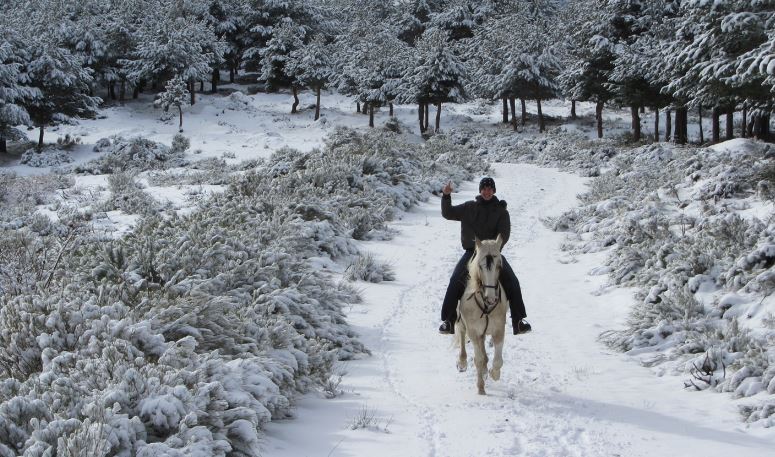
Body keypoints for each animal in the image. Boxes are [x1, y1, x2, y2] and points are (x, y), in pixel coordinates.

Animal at [454, 233, 510, 394]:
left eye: (499, 266)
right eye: (480, 265)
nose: (491, 299)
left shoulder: (499, 330)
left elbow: (498, 361)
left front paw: (493, 374)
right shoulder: (473, 331)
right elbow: (478, 360)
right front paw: (481, 389)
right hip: (462, 323)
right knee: (461, 334)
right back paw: (462, 363)